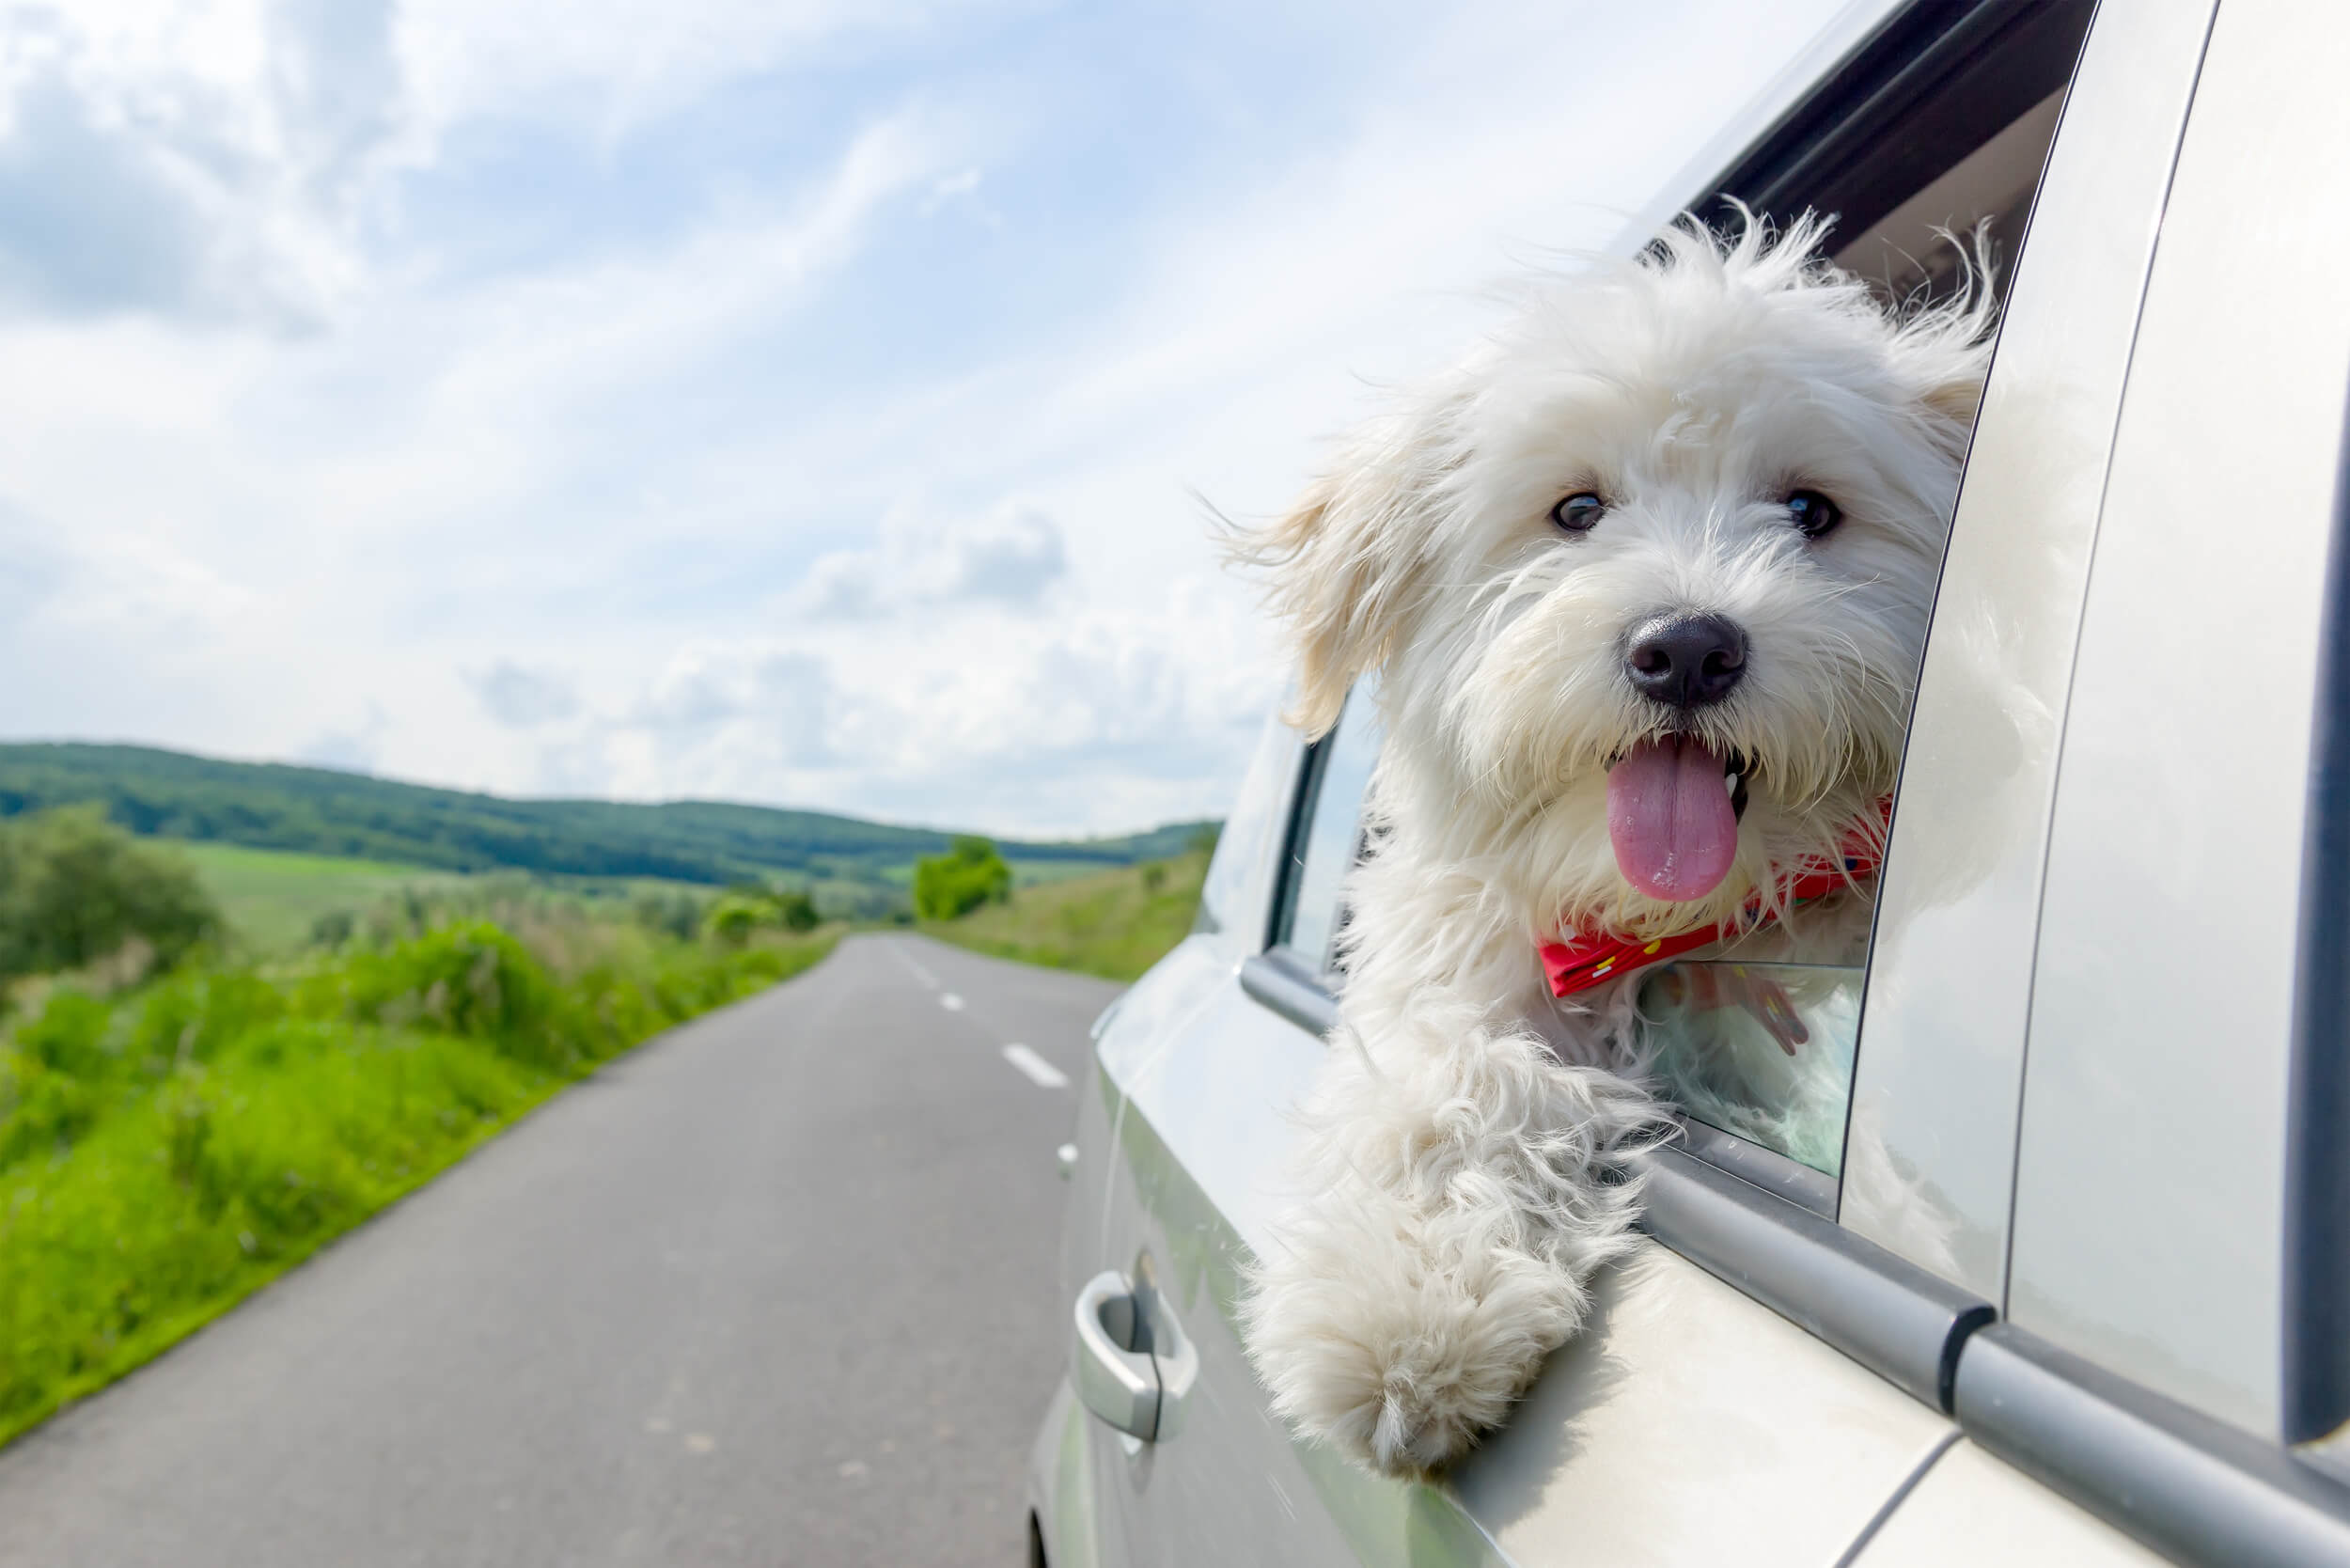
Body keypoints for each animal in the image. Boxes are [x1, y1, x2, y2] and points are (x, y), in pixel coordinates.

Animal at [1241, 214, 1993, 1476]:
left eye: (1809, 512)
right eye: (1577, 511)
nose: (1684, 647)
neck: (1673, 922)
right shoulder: (1467, 955)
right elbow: (1450, 1078)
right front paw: (1400, 1308)